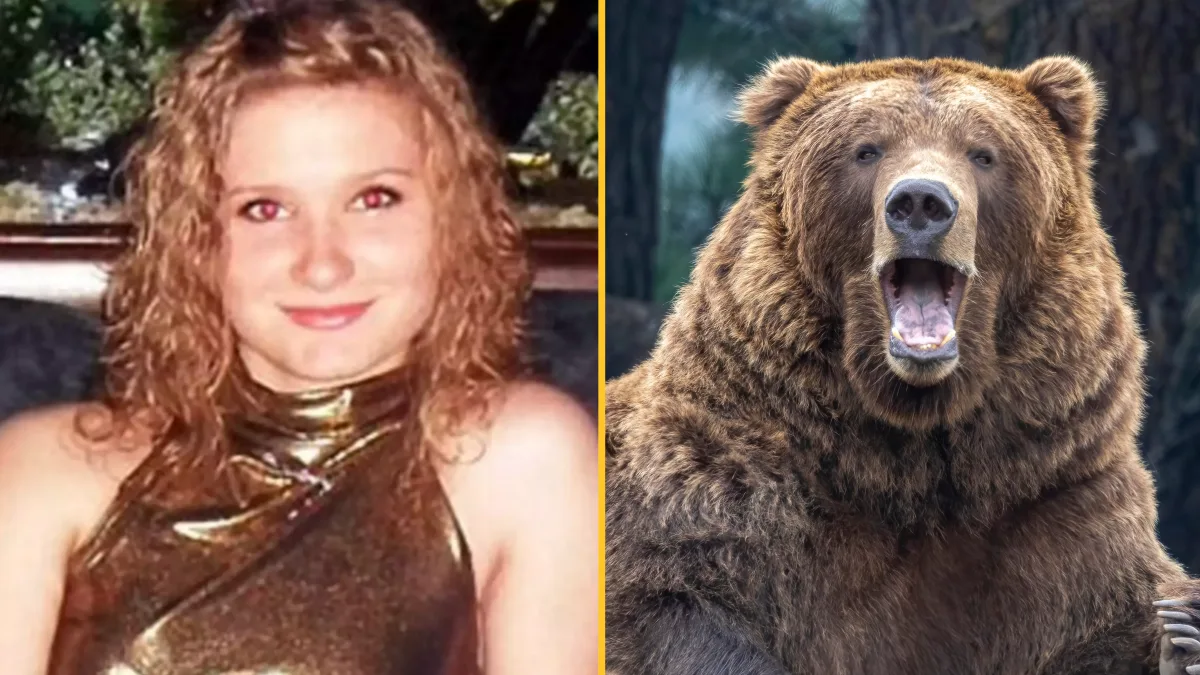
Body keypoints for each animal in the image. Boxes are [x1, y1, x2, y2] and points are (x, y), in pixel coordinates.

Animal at [604, 55, 1200, 675]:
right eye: (867, 150)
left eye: (983, 153)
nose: (920, 202)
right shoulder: (731, 495)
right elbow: (689, 605)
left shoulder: (1054, 505)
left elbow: (1110, 617)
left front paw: (1183, 632)